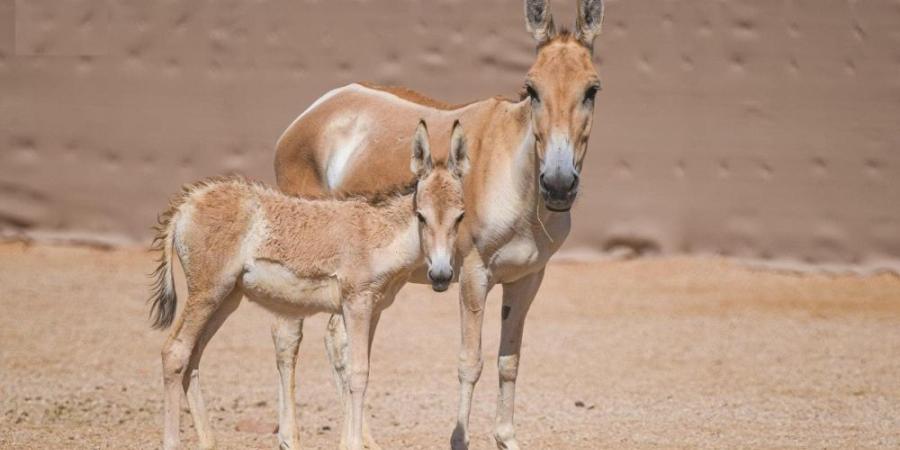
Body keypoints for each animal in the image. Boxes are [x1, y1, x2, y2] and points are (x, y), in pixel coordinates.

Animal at [150, 120, 468, 450]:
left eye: (460, 217)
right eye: (421, 216)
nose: (441, 275)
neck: (380, 235)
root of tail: (188, 203)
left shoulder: (373, 309)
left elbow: (354, 370)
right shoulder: (357, 303)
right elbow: (358, 373)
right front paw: (354, 443)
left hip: (226, 298)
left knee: (193, 355)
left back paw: (209, 441)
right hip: (207, 292)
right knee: (175, 352)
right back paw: (172, 442)